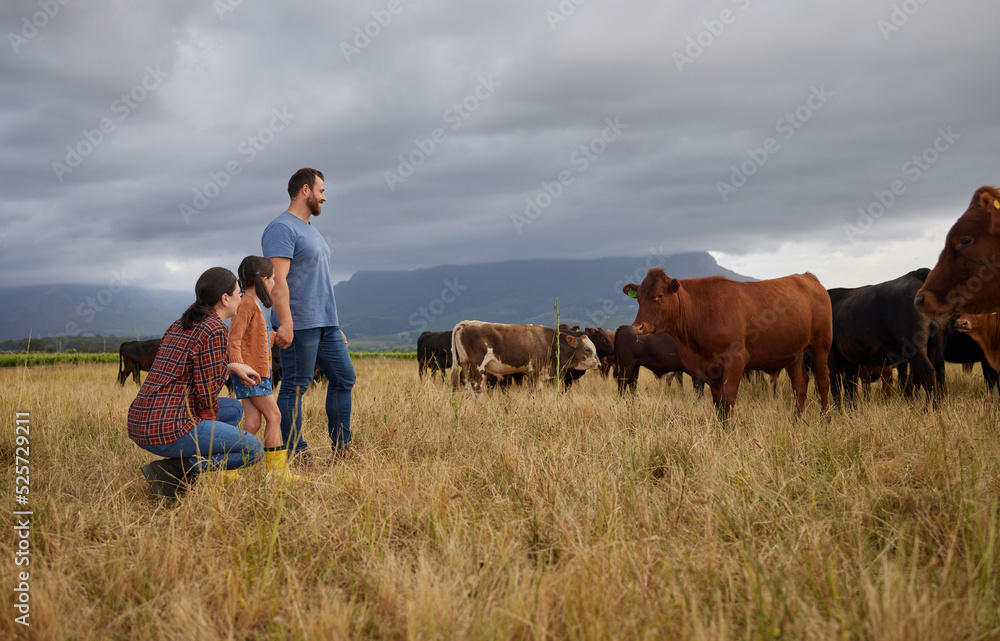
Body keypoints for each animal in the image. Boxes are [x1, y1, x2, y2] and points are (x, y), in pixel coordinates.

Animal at [454, 318, 600, 396]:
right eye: (587, 349)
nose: (599, 364)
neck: (550, 343)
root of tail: (467, 323)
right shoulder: (533, 372)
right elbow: (532, 392)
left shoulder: (540, 375)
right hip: (478, 366)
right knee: (476, 385)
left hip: (466, 364)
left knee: (466, 384)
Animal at [620, 268, 832, 418]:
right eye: (638, 298)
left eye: (660, 295)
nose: (638, 327)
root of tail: (808, 277)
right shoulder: (709, 369)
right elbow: (719, 404)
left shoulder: (736, 360)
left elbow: (728, 400)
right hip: (794, 353)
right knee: (800, 384)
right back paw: (797, 420)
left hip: (821, 345)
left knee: (823, 381)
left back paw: (825, 419)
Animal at [828, 268, 944, 408]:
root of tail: (915, 274)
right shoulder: (850, 359)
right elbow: (850, 387)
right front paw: (852, 411)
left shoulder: (831, 355)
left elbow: (836, 387)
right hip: (931, 346)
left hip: (915, 345)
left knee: (928, 372)